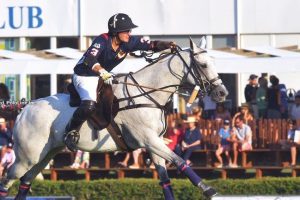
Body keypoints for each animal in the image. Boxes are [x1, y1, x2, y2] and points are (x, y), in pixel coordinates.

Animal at [1, 38, 229, 200]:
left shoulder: (154, 144)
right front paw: (208, 189)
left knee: (25, 181)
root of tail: (23, 110)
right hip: (26, 157)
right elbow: (180, 161)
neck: (147, 94)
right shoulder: (149, 140)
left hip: (44, 155)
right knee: (7, 180)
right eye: (202, 64)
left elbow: (166, 180)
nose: (222, 93)